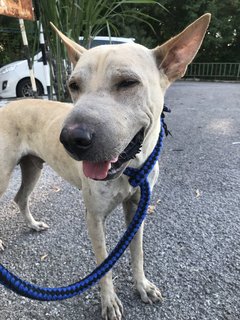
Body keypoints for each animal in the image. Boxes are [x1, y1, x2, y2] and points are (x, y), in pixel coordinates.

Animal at [0, 13, 210, 318]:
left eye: (127, 83)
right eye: (73, 85)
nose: (71, 138)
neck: (131, 167)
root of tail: (8, 105)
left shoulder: (137, 209)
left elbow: (137, 252)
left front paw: (142, 285)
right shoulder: (94, 217)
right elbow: (103, 266)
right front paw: (109, 300)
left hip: (33, 167)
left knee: (21, 197)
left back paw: (33, 224)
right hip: (3, 174)